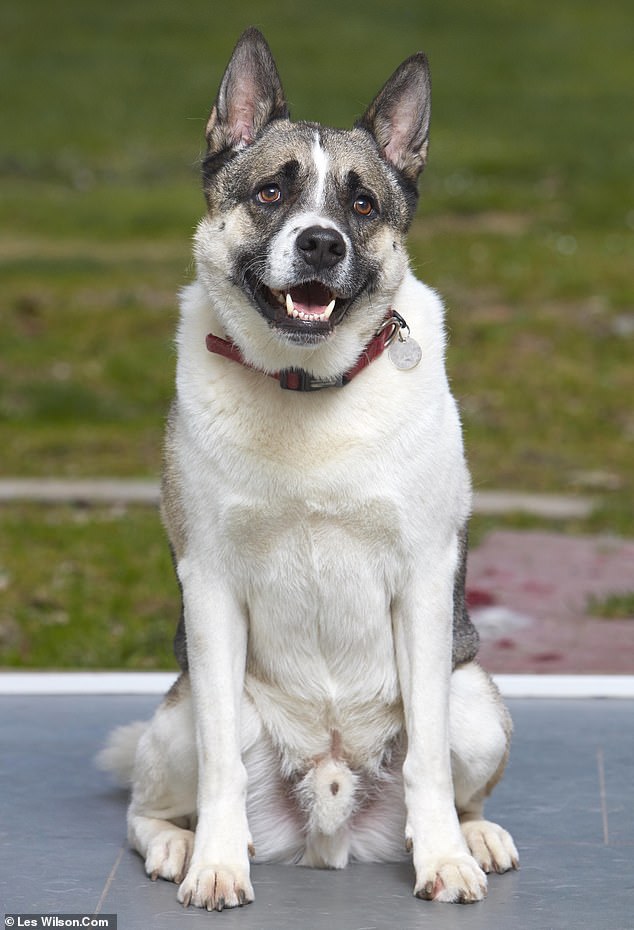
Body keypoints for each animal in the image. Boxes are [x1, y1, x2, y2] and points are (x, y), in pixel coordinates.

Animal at [96, 27, 516, 908]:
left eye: (362, 206)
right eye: (269, 194)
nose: (321, 242)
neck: (309, 384)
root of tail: (329, 823)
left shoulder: (424, 582)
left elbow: (428, 764)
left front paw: (445, 860)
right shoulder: (210, 589)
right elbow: (220, 766)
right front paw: (217, 864)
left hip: (476, 703)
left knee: (456, 774)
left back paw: (474, 835)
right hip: (177, 719)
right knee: (149, 805)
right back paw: (177, 846)